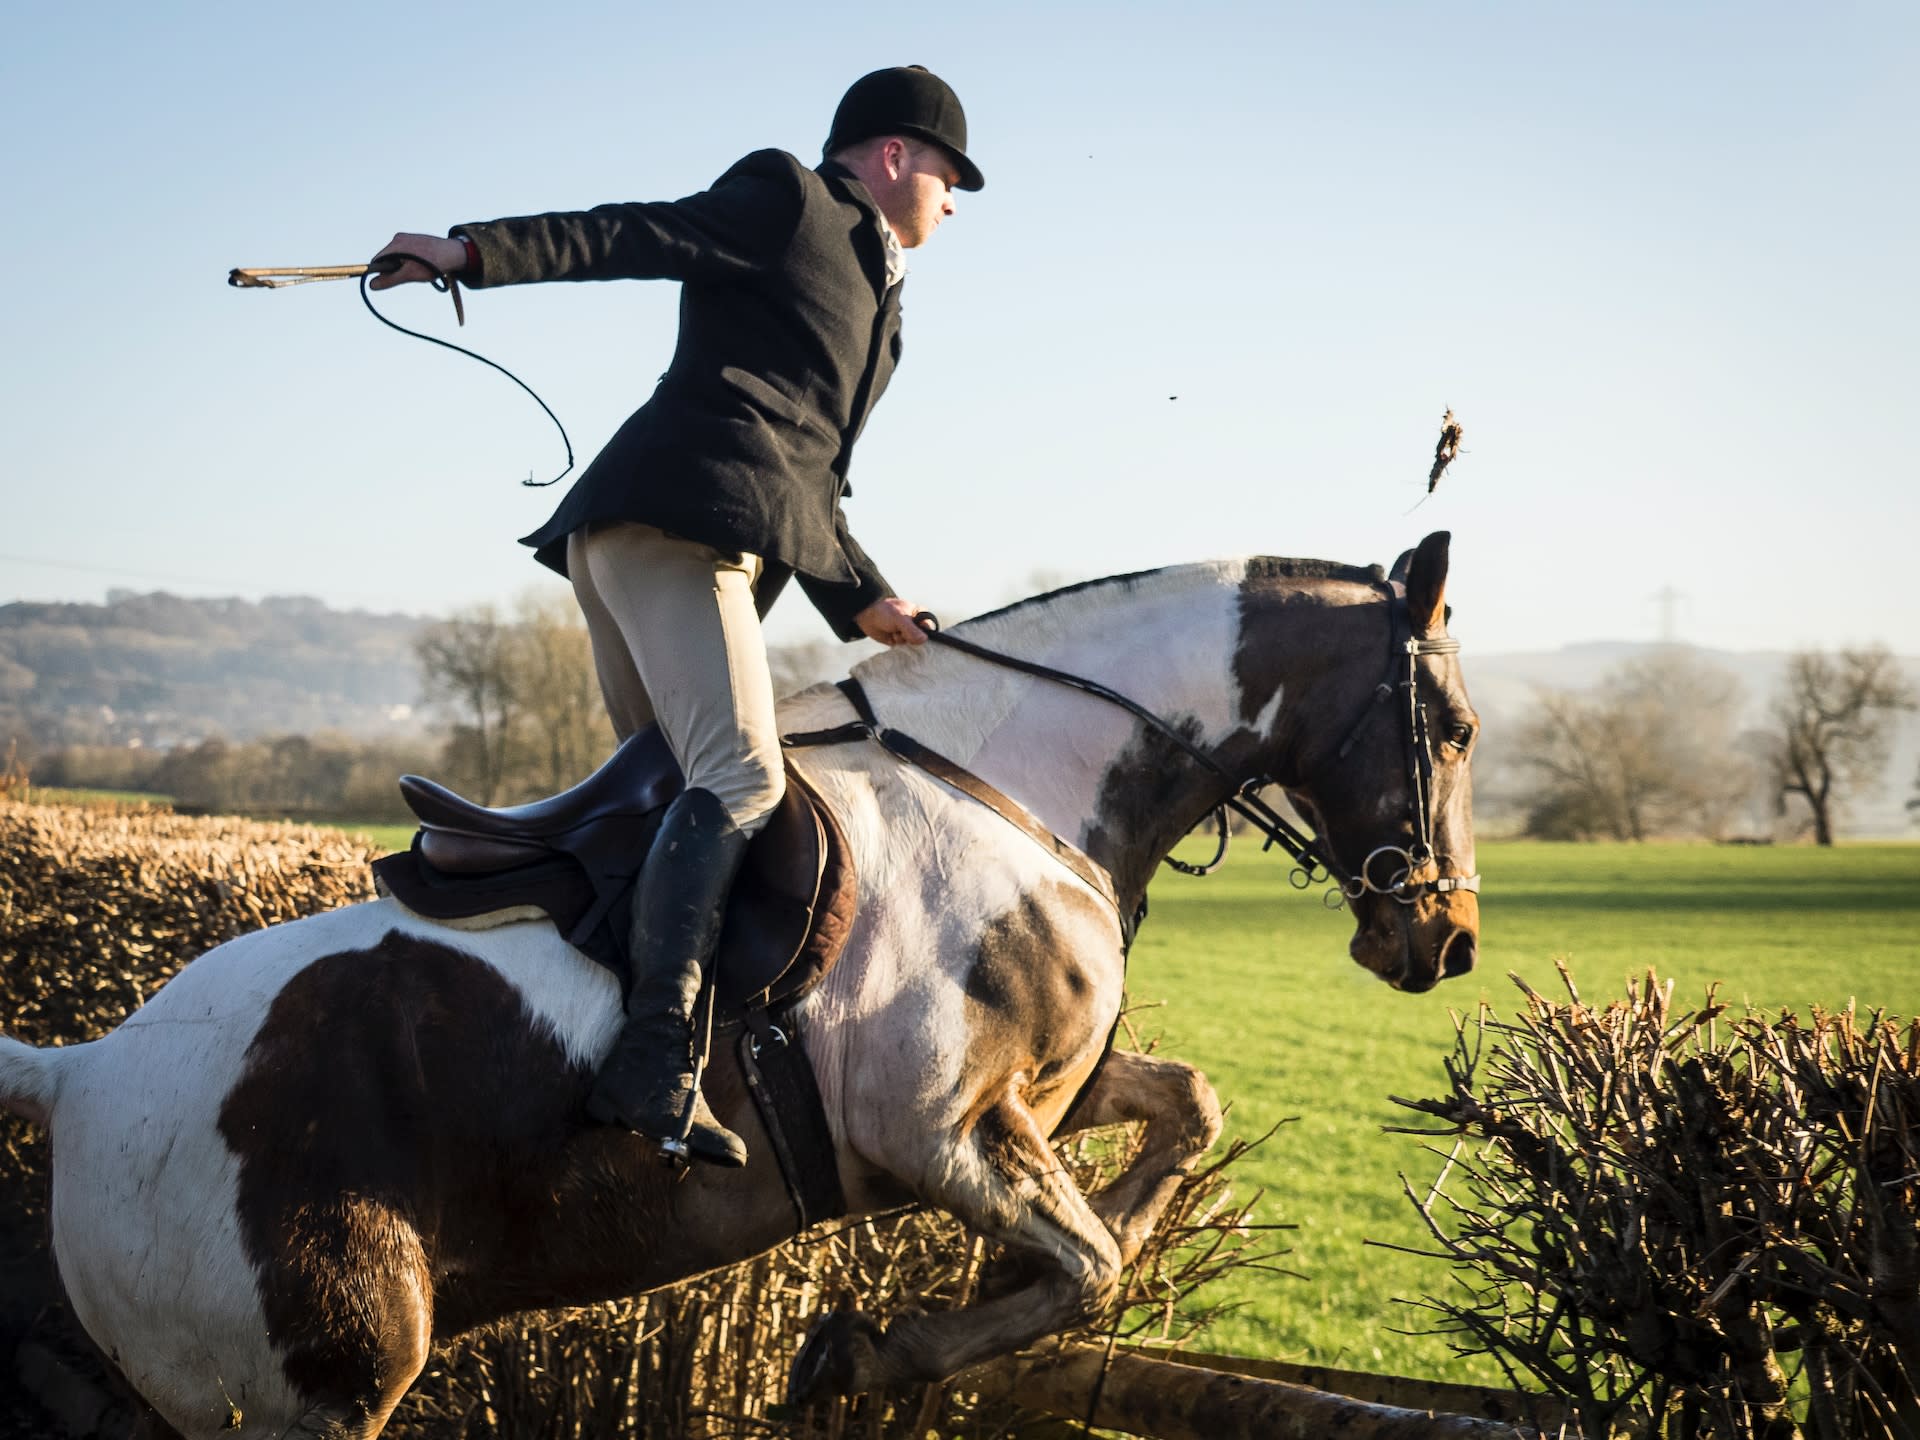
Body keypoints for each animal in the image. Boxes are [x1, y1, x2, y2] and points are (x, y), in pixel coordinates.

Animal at [0, 533, 1474, 1440]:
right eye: (1455, 729)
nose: (1448, 939)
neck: (1012, 780)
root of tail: (83, 1072)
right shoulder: (932, 1130)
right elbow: (1092, 1264)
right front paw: (867, 1353)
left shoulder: (1041, 1098)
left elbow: (1185, 1116)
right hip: (308, 1387)